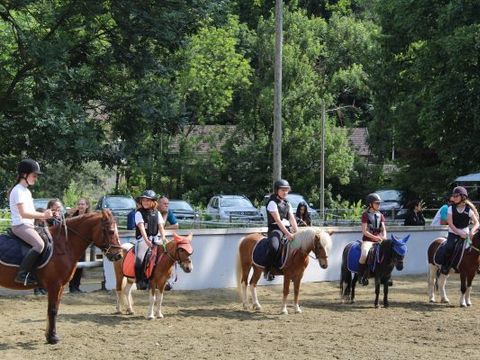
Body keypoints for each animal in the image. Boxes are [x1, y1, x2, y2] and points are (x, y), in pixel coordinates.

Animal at [0, 210, 122, 344]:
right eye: (111, 231)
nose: (119, 255)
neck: (63, 245)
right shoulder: (54, 285)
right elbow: (52, 310)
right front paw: (53, 337)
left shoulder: (61, 286)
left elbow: (55, 309)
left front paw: (49, 335)